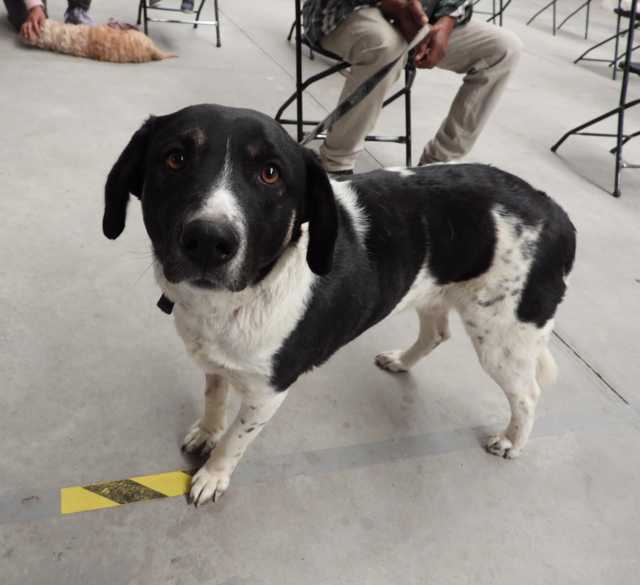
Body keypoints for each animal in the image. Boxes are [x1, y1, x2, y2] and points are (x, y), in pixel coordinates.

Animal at [104, 104, 576, 506]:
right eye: (175, 159)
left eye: (271, 173)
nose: (208, 240)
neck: (238, 297)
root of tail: (552, 207)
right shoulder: (217, 363)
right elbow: (213, 399)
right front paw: (206, 432)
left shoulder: (268, 393)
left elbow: (235, 439)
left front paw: (212, 476)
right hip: (432, 293)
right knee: (437, 333)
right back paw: (402, 361)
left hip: (504, 339)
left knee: (528, 394)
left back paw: (512, 441)